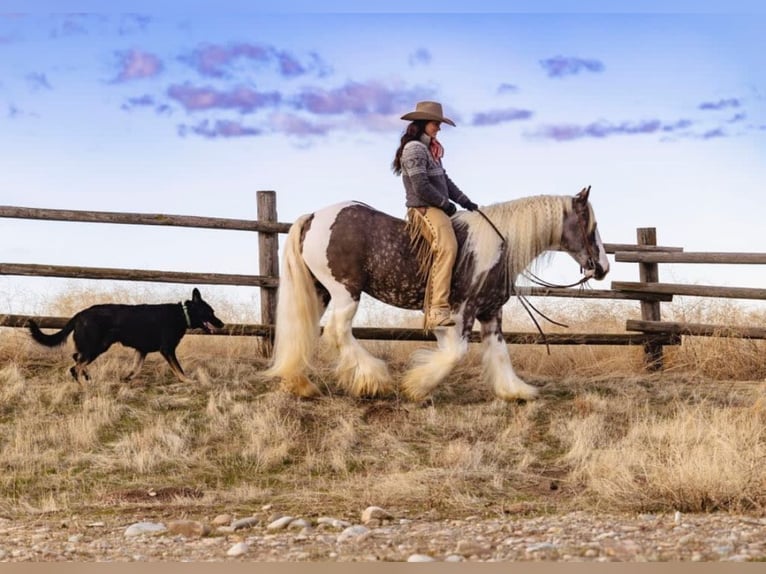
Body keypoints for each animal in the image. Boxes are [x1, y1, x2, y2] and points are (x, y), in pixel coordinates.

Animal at [264, 187, 612, 402]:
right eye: (590, 225)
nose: (603, 267)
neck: (498, 245)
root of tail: (314, 217)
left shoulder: (490, 312)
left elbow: (499, 352)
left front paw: (515, 392)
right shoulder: (462, 310)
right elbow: (455, 353)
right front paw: (417, 386)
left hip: (321, 291)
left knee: (305, 332)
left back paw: (301, 384)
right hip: (345, 291)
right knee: (338, 332)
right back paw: (374, 380)